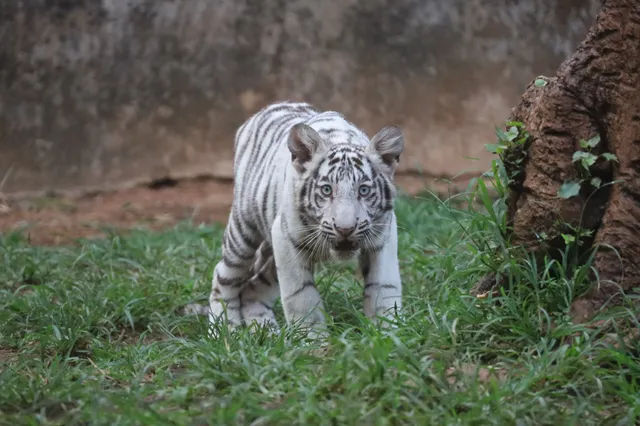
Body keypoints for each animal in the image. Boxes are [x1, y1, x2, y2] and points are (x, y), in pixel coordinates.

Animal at [204, 101, 404, 339]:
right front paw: (313, 339)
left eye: (363, 191)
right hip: (243, 233)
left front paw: (387, 333)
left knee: (252, 288)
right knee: (222, 276)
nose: (345, 229)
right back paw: (226, 331)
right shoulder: (286, 239)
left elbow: (384, 288)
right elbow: (301, 295)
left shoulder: (383, 236)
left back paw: (267, 332)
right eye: (327, 190)